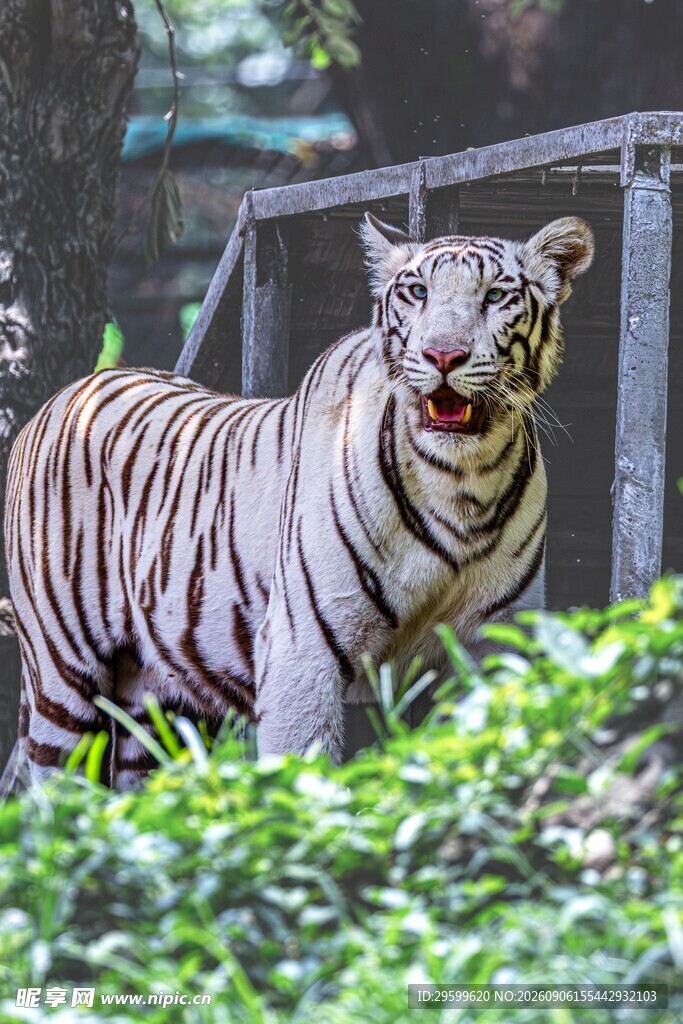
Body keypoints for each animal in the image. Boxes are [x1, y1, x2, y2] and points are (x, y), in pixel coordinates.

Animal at [4, 213, 594, 789]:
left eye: (494, 296)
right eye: (419, 292)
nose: (443, 355)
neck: (461, 482)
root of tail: (66, 393)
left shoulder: (497, 643)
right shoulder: (302, 646)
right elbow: (305, 777)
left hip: (156, 703)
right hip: (63, 674)